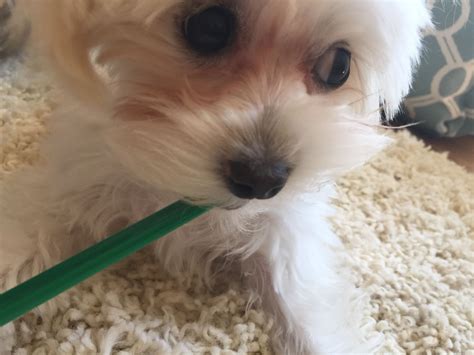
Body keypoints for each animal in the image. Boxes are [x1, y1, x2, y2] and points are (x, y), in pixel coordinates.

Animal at [0, 0, 430, 354]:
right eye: (209, 27)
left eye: (338, 66)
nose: (261, 180)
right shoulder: (73, 182)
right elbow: (26, 237)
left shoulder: (283, 228)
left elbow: (309, 313)